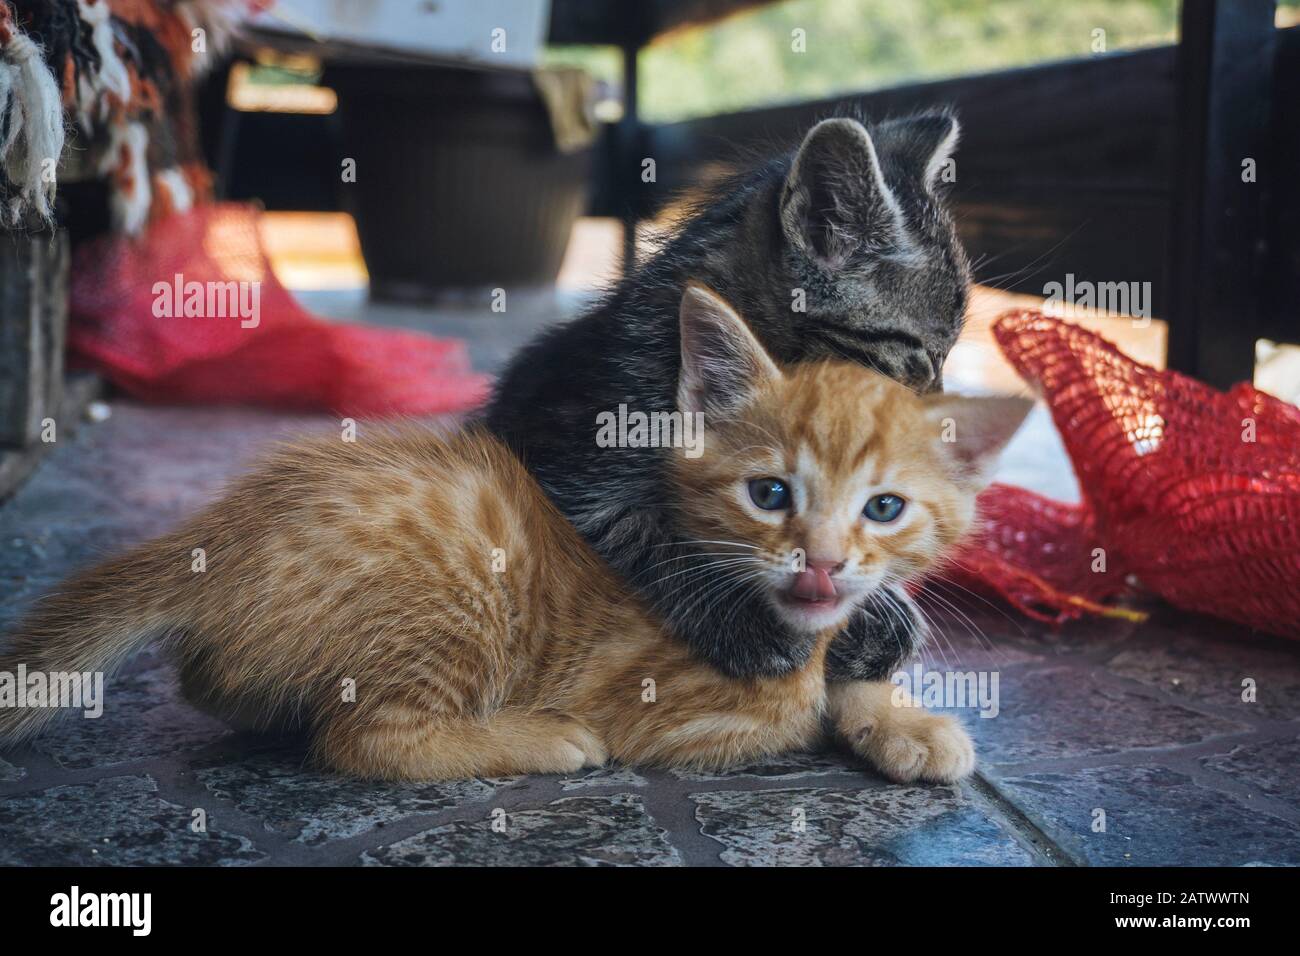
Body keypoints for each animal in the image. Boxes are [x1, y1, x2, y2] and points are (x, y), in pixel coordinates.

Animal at [2, 286, 1024, 785]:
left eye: (884, 508)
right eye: (770, 493)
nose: (822, 560)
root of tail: (216, 538)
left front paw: (904, 720)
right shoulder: (680, 708)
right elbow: (796, 709)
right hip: (459, 583)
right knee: (361, 740)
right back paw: (536, 738)